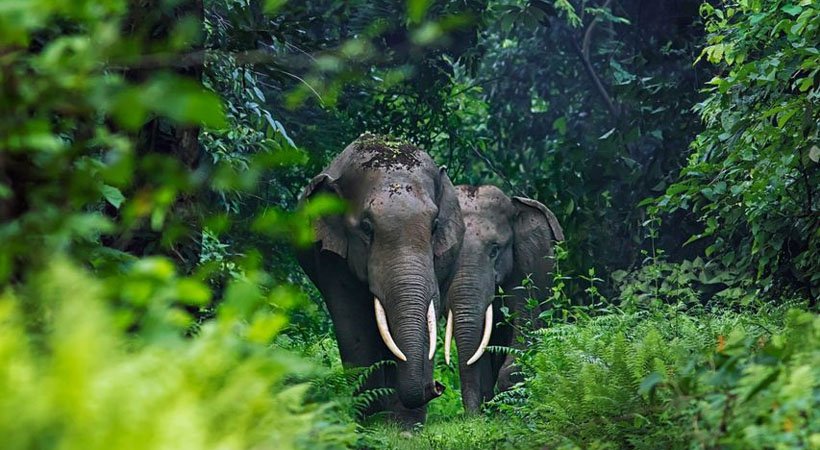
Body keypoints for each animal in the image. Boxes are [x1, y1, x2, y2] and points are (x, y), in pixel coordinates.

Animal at [296, 133, 465, 426]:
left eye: (434, 226)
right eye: (366, 228)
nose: (437, 386)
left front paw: (405, 428)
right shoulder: (330, 257)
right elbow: (354, 323)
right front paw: (370, 422)